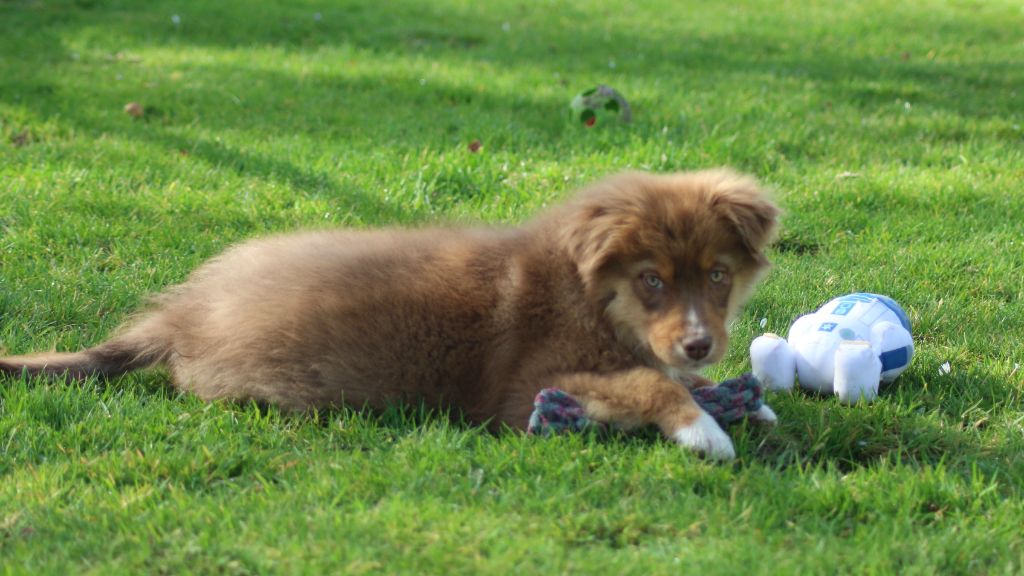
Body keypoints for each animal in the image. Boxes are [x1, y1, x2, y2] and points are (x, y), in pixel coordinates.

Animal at [0, 168, 778, 459]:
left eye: (717, 276)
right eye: (651, 281)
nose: (702, 346)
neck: (584, 290)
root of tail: (178, 320)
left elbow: (656, 373)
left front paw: (730, 396)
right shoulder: (524, 390)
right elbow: (644, 382)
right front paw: (703, 427)